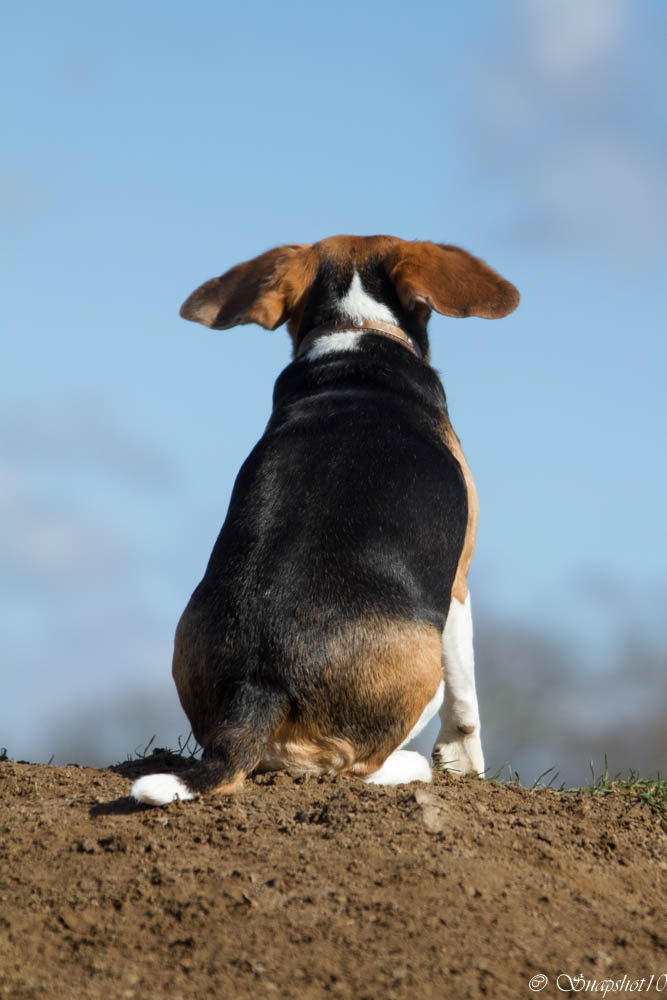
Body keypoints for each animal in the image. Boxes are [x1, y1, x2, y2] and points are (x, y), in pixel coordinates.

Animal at [129, 234, 516, 804]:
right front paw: (464, 767)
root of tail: (258, 686)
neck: (355, 331)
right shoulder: (459, 583)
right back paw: (412, 767)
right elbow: (466, 700)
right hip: (422, 665)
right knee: (353, 766)